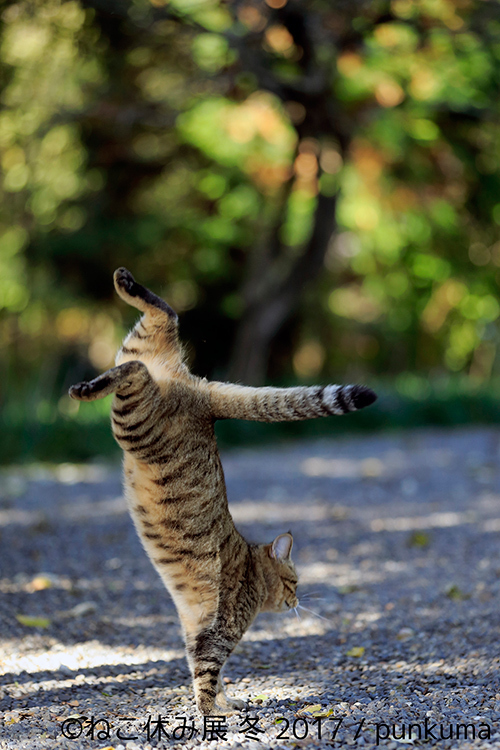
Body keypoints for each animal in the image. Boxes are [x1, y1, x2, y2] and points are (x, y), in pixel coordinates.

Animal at [68, 268, 376, 716]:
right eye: (294, 582)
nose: (297, 602)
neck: (250, 568)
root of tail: (204, 395)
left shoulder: (195, 628)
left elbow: (212, 675)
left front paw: (227, 705)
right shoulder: (216, 632)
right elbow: (209, 675)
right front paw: (212, 712)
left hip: (140, 350)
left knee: (162, 317)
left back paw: (124, 283)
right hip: (133, 420)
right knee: (135, 369)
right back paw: (83, 388)